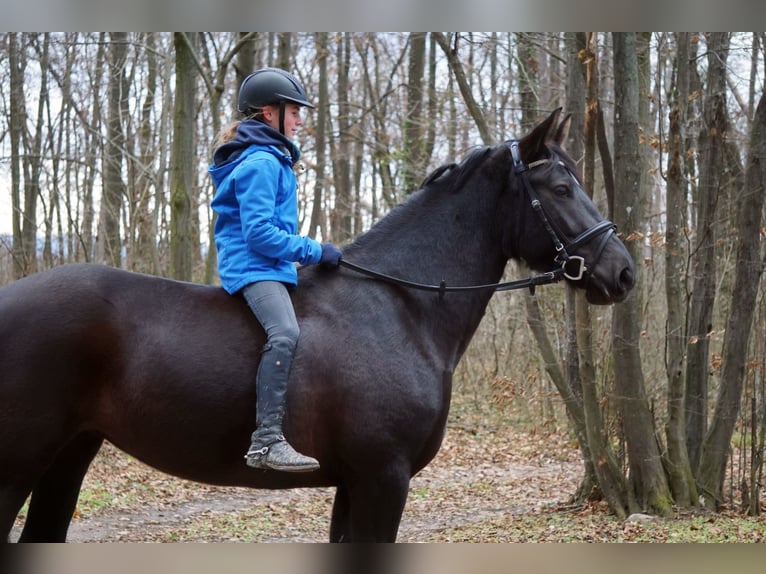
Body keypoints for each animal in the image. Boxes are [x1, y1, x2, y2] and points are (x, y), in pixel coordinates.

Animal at [0, 109, 636, 544]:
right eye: (561, 188)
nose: (622, 272)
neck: (402, 310)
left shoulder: (354, 483)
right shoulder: (383, 477)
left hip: (69, 455)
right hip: (20, 460)